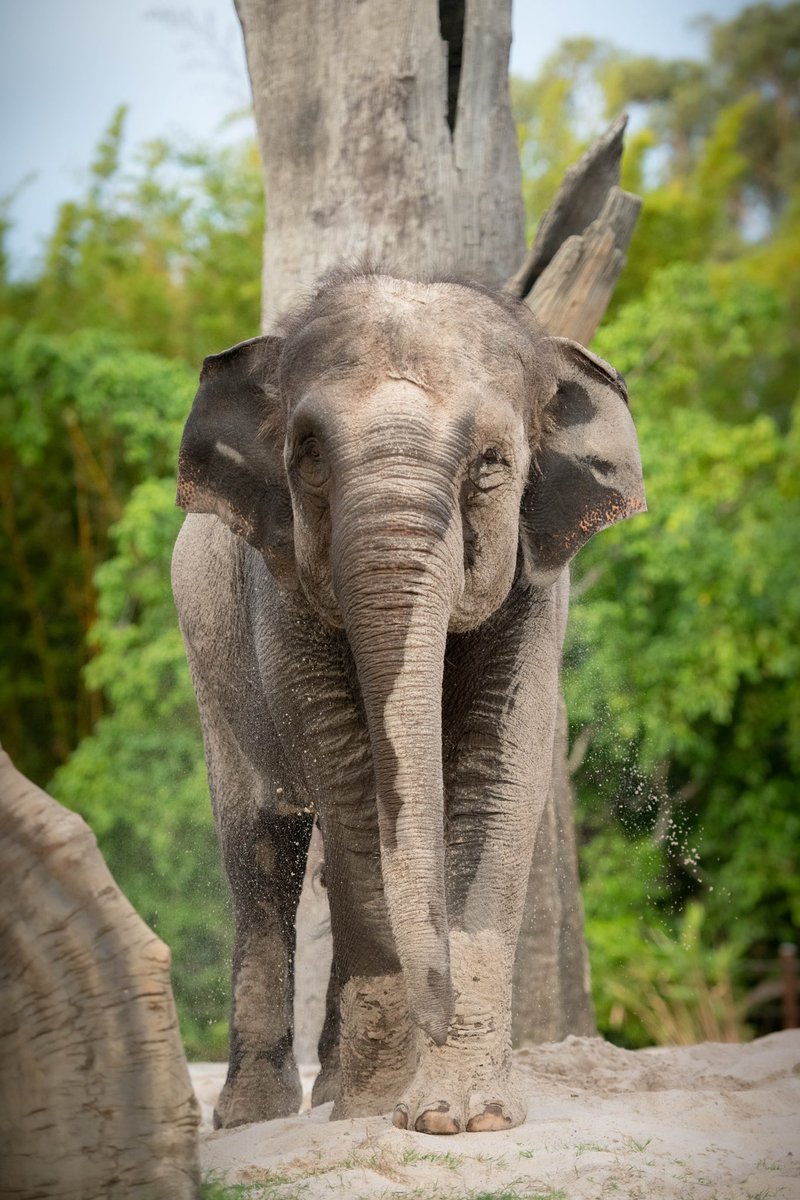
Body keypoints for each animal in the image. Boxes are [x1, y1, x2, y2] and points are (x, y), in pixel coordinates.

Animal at [172, 270, 647, 1132]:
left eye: (491, 464)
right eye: (307, 458)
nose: (438, 1012)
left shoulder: (537, 587)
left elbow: (498, 777)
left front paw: (458, 1117)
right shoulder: (280, 586)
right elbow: (355, 787)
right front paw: (380, 1107)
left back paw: (329, 1089)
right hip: (209, 667)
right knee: (259, 854)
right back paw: (260, 1116)